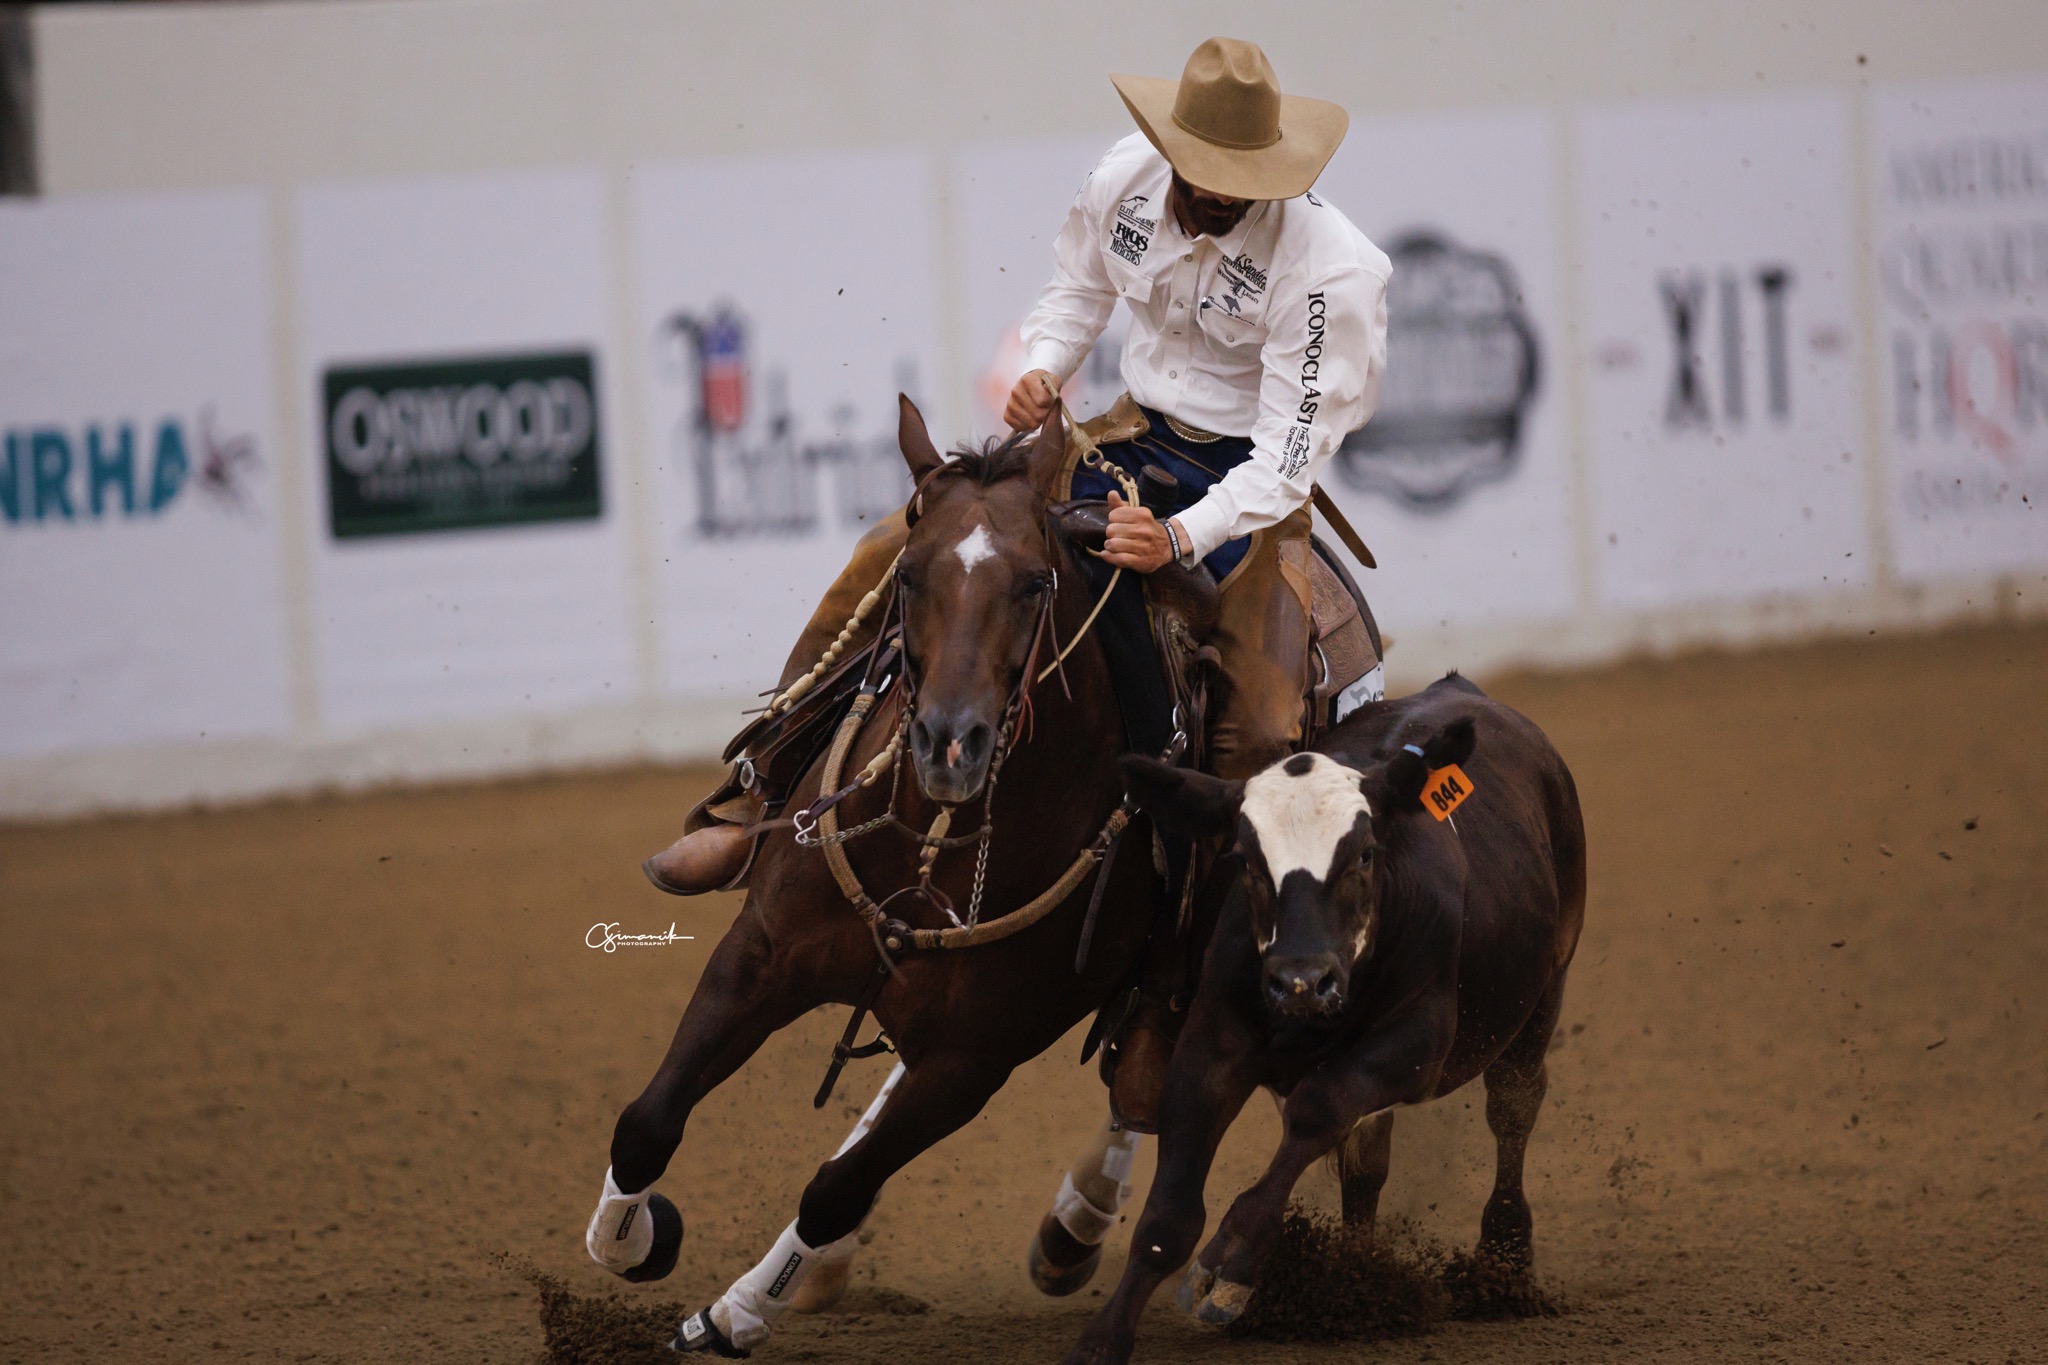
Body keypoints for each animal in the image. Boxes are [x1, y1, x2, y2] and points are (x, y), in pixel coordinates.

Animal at [589, 394, 1171, 1358]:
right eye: (908, 574)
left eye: (1034, 583)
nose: (949, 744)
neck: (927, 841)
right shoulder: (760, 954)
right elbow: (646, 1122)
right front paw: (637, 1240)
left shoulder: (972, 1060)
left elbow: (835, 1189)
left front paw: (741, 1311)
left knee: (1146, 1078)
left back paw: (1079, 1222)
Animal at [1064, 675, 1589, 1365]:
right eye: (1247, 860)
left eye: (1364, 855)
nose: (1301, 981)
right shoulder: (1212, 1041)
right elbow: (1170, 1212)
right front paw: (1103, 1338)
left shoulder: (1417, 1045)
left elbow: (1319, 1109)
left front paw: (1233, 1260)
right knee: (1366, 1163)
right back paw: (1355, 1275)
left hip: (1548, 984)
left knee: (1513, 1104)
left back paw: (1503, 1259)